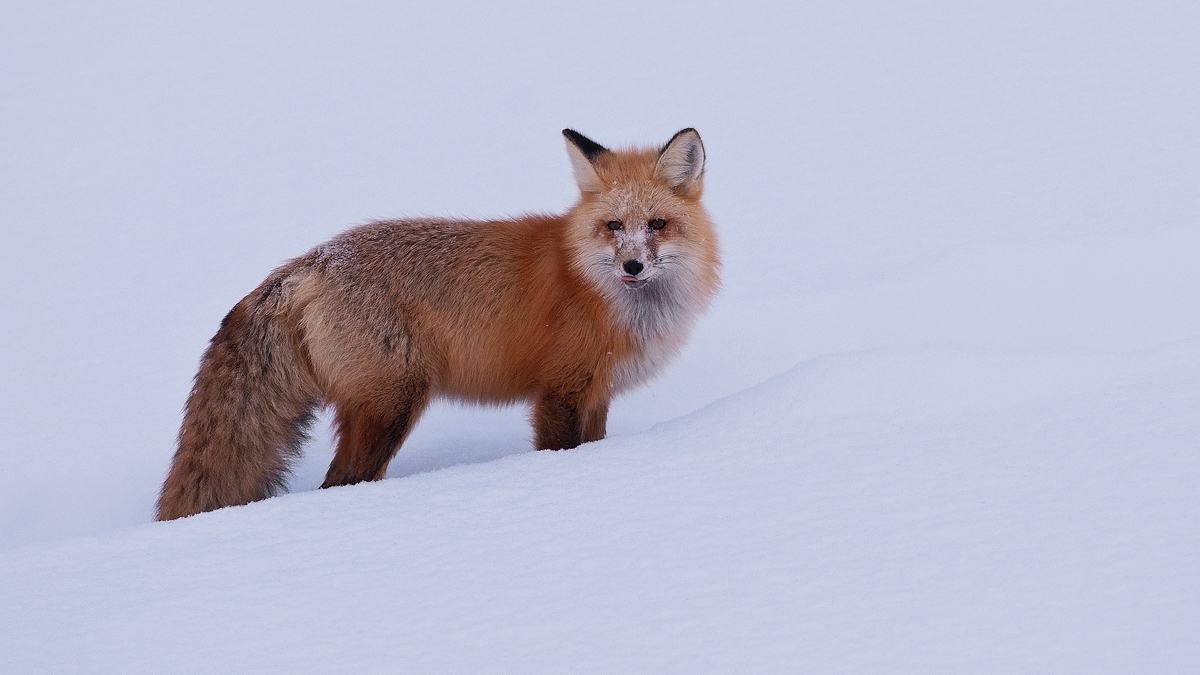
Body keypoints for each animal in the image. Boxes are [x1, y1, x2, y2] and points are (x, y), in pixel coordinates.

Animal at [156, 128, 721, 520]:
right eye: (614, 227)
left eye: (657, 225)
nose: (633, 266)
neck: (597, 289)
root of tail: (314, 259)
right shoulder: (559, 391)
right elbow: (557, 450)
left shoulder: (596, 393)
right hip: (392, 404)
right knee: (342, 482)